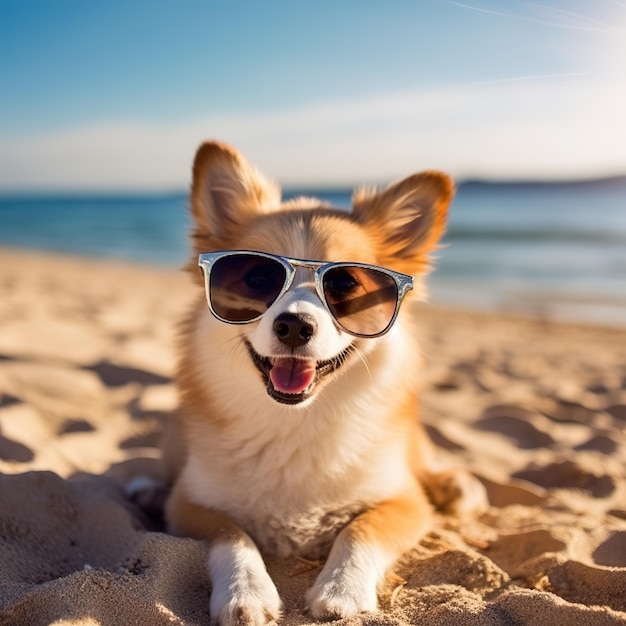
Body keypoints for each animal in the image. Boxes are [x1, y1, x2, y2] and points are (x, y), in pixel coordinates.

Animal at [158, 143, 486, 624]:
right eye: (258, 279)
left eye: (344, 285)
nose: (295, 325)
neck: (295, 421)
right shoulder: (188, 504)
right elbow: (232, 535)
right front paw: (245, 591)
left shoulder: (405, 502)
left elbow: (362, 528)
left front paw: (341, 589)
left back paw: (458, 487)